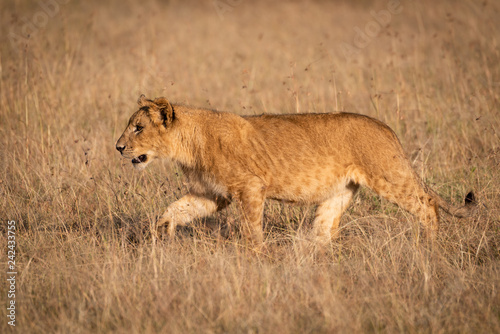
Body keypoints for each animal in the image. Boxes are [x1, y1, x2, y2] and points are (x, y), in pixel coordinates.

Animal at [115, 95, 474, 244]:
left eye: (138, 128)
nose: (118, 147)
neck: (188, 145)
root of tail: (386, 128)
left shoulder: (250, 187)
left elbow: (252, 230)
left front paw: (256, 259)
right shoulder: (212, 194)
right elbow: (177, 209)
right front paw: (160, 233)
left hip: (389, 176)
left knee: (427, 206)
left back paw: (428, 247)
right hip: (338, 193)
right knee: (324, 230)